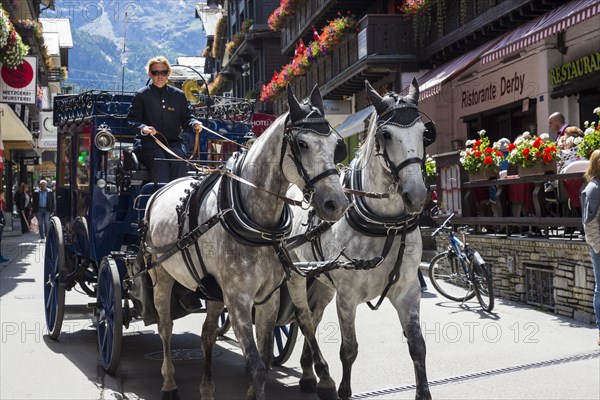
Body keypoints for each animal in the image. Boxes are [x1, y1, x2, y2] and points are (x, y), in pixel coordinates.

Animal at [144, 85, 346, 400]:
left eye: (337, 144)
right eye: (301, 144)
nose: (336, 203)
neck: (259, 222)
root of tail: (157, 190)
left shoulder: (267, 299)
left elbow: (262, 358)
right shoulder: (238, 300)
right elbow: (256, 364)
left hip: (212, 290)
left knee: (207, 335)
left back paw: (207, 388)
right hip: (161, 276)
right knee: (165, 328)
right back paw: (169, 384)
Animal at [282, 79, 428, 398]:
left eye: (425, 132)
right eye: (386, 134)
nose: (417, 195)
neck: (385, 225)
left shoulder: (408, 290)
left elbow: (417, 347)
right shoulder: (347, 297)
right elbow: (349, 350)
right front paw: (343, 389)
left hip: (323, 281)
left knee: (314, 315)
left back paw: (309, 370)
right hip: (296, 274)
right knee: (303, 318)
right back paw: (316, 374)